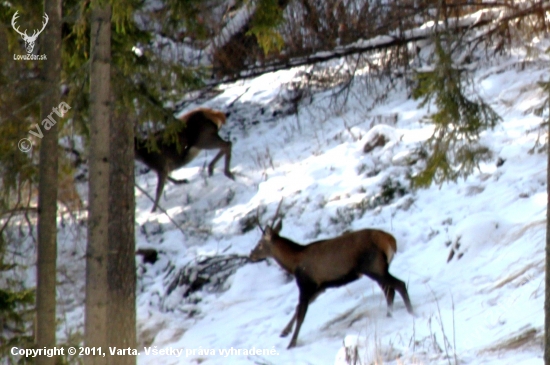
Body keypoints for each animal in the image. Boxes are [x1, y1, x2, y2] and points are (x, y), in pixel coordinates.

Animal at [249, 200, 414, 348]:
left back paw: (411, 313)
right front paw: (284, 332)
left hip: (373, 266)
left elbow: (301, 313)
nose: (251, 255)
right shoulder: (320, 287)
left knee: (399, 285)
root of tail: (390, 240)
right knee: (389, 290)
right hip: (377, 268)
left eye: (259, 244)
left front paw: (291, 343)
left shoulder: (305, 283)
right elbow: (298, 309)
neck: (294, 263)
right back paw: (389, 315)